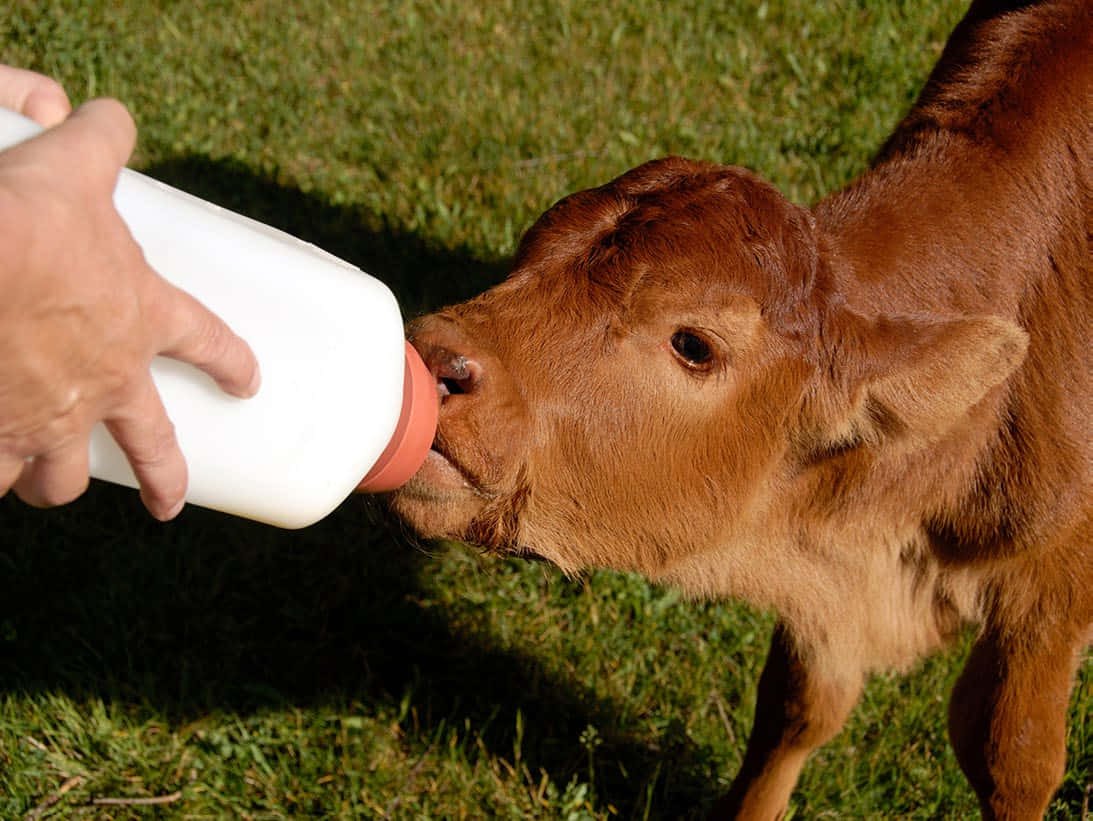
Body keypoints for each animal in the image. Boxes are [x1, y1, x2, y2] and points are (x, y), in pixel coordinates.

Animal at [389, 3, 1088, 817]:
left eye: (694, 343)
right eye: (528, 250)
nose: (435, 359)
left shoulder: (1052, 594)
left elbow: (1014, 756)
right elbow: (798, 703)